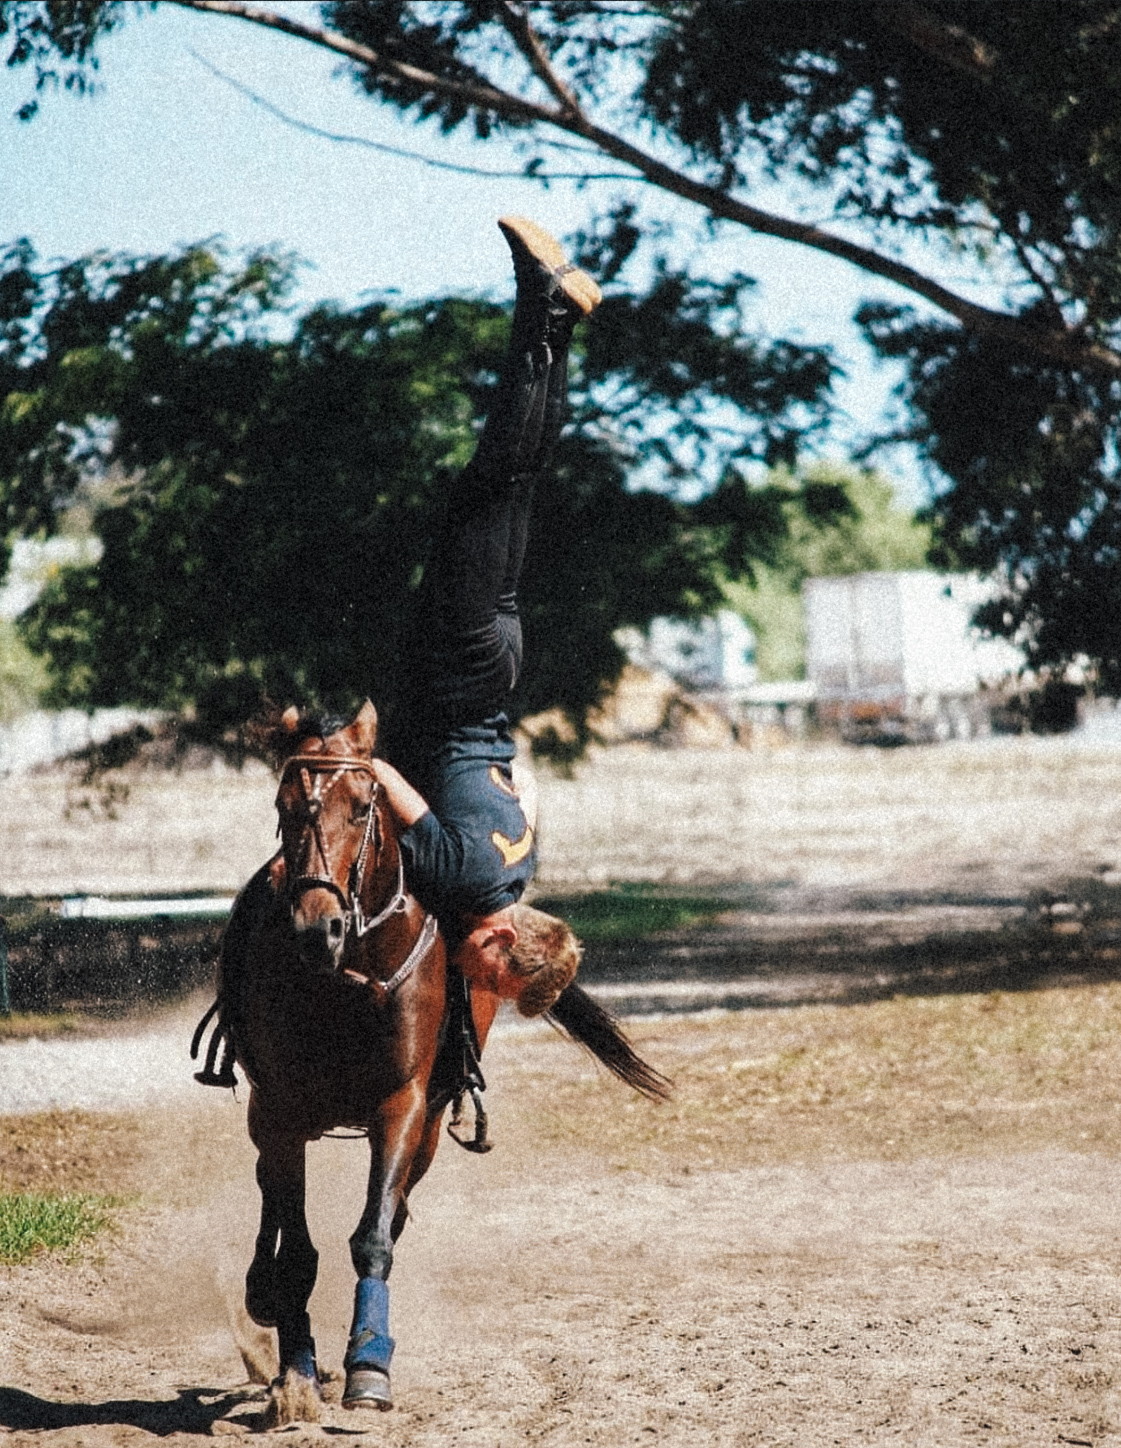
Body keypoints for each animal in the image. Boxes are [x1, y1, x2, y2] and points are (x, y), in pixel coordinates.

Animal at [192, 700, 672, 1424]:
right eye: (283, 807)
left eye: (363, 807)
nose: (315, 928)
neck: (348, 977)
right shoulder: (279, 1111)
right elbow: (297, 1249)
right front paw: (296, 1376)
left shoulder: (404, 1107)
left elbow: (373, 1236)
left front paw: (367, 1366)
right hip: (270, 1118)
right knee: (269, 1197)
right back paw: (261, 1299)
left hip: (423, 1133)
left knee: (390, 1214)